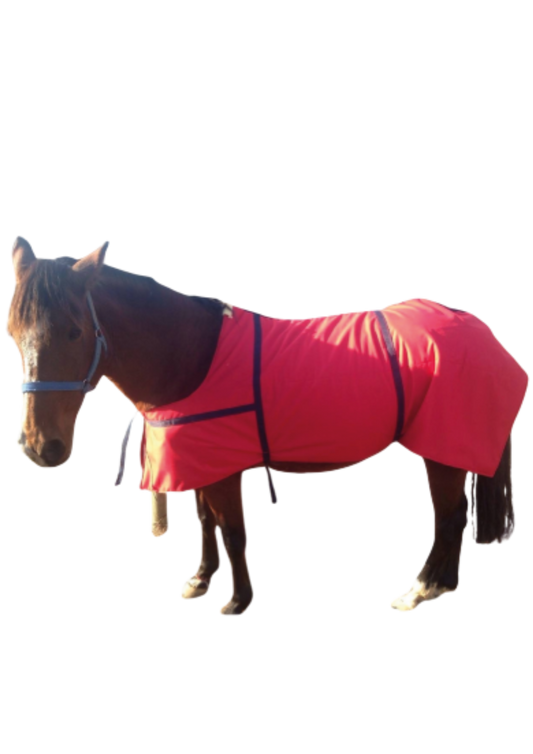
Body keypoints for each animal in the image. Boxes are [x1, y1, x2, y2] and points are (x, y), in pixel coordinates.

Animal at [5, 233, 530, 618]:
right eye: (11, 332)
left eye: (74, 330)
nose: (38, 447)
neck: (191, 359)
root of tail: (480, 327)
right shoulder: (202, 459)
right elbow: (203, 521)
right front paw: (199, 580)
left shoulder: (225, 467)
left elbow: (232, 528)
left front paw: (236, 602)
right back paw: (441, 587)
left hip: (443, 450)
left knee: (450, 517)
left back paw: (418, 591)